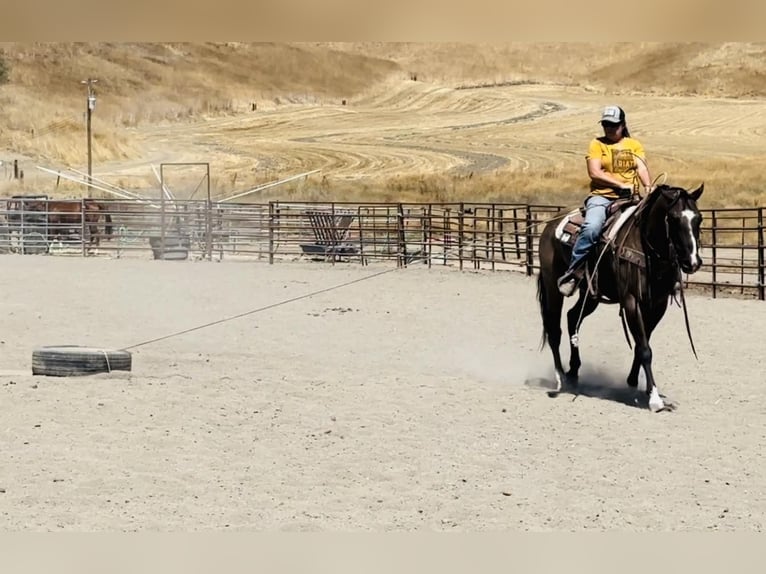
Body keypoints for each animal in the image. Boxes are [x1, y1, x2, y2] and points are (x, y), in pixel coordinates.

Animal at [536, 184, 704, 414]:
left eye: (699, 218)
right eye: (674, 218)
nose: (692, 262)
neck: (646, 246)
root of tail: (551, 223)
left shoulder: (658, 304)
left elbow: (643, 343)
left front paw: (635, 383)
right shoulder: (631, 301)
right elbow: (644, 349)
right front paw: (654, 399)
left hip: (590, 294)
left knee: (572, 318)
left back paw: (573, 372)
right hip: (553, 286)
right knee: (554, 329)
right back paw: (560, 378)